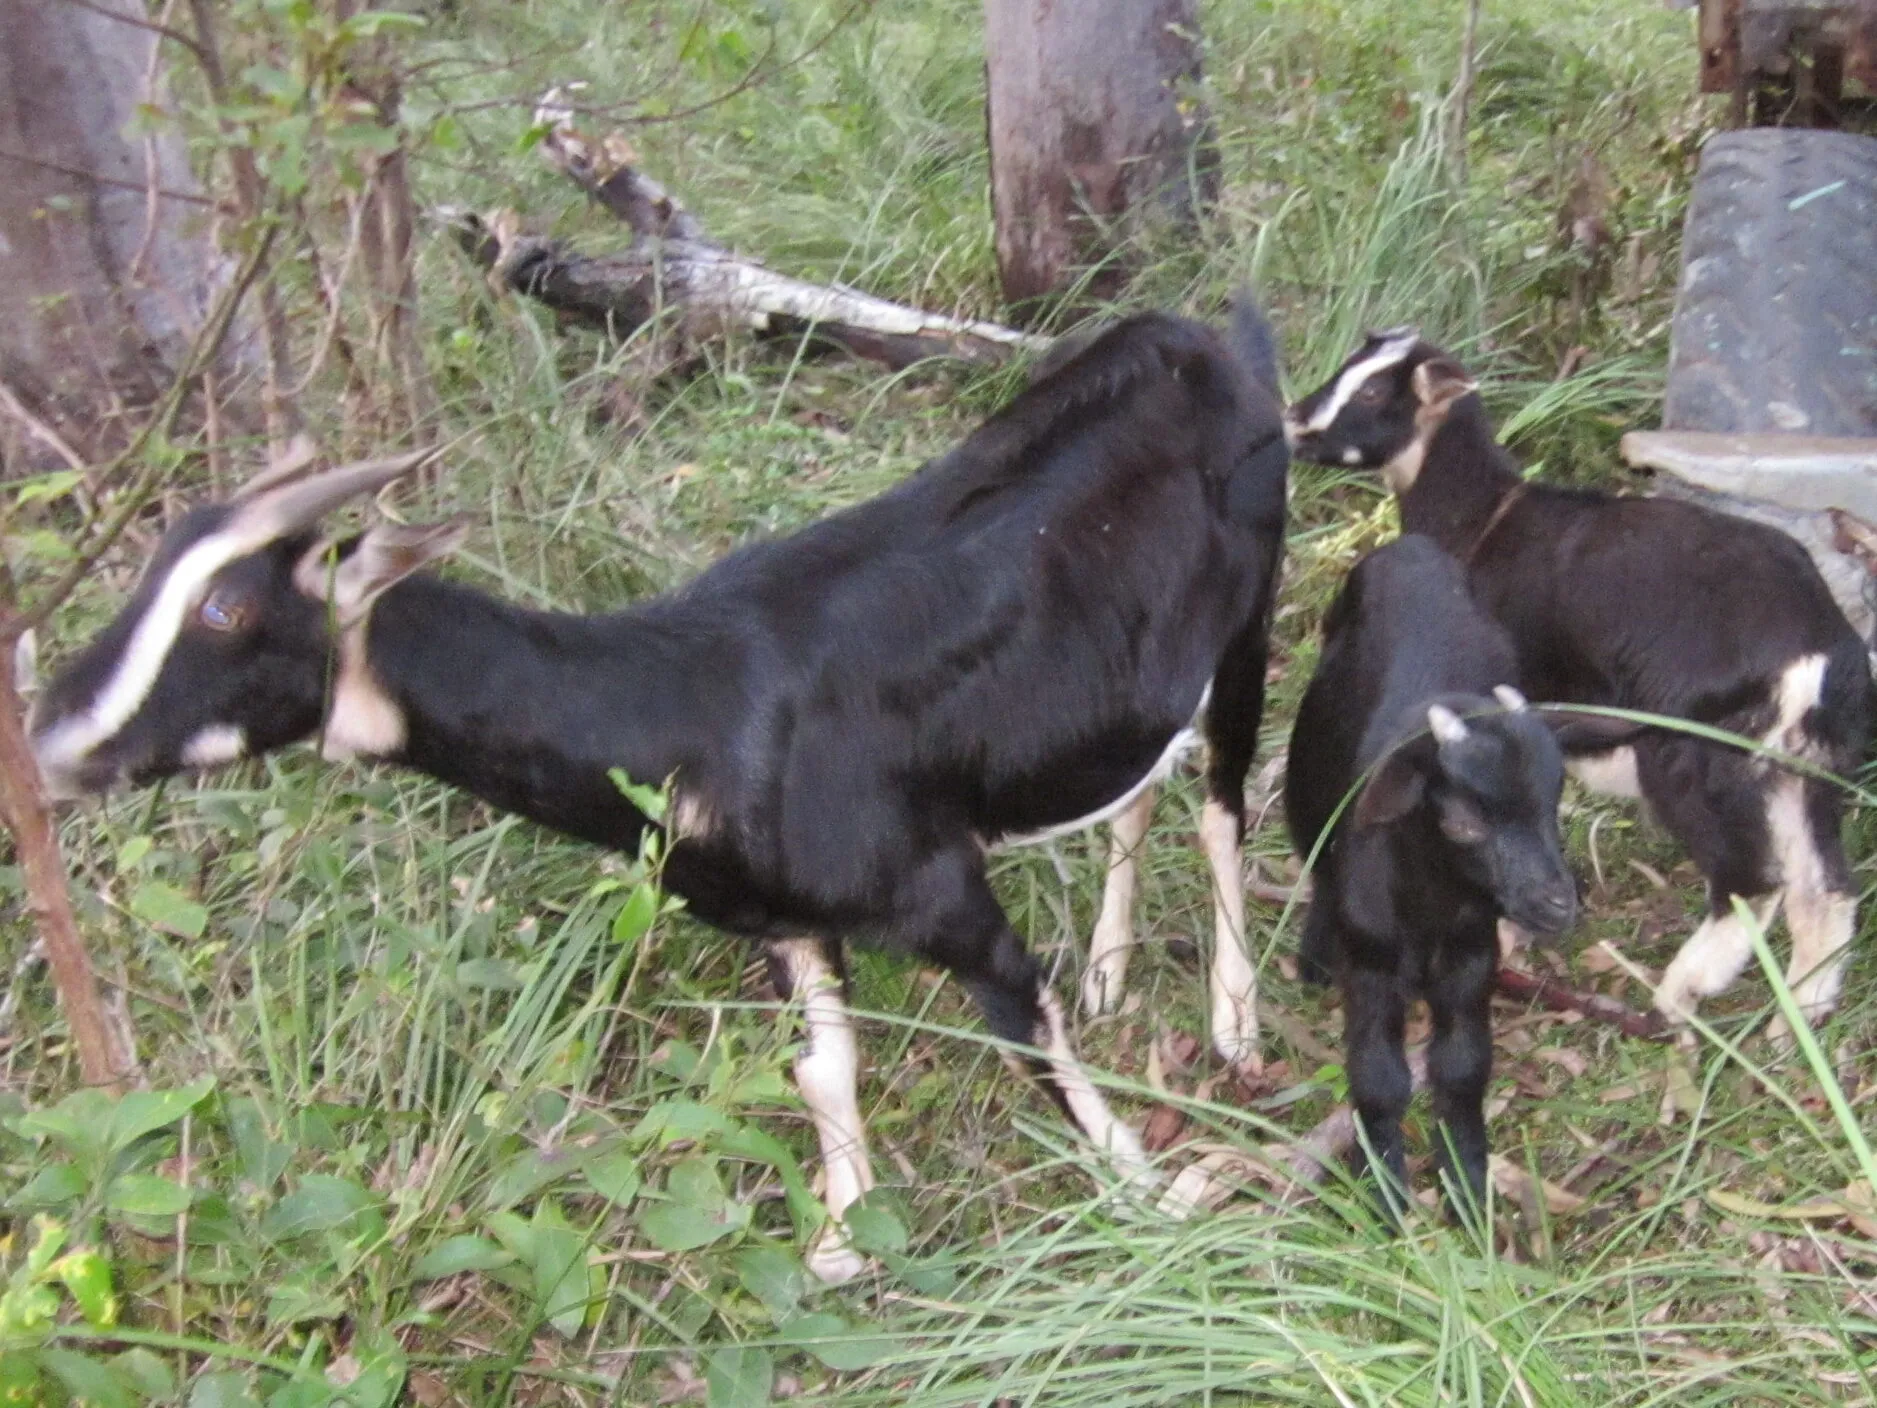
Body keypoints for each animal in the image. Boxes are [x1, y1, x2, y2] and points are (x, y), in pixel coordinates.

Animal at [31, 309, 1290, 1284]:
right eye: (154, 566)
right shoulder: (780, 918)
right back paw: (1115, 962)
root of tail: (1197, 335)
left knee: (1221, 797)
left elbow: (1027, 1027)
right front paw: (841, 1239)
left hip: (1251, 615)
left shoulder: (939, 888)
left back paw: (1232, 1018)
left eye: (229, 609)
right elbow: (822, 1066)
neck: (694, 702)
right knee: (1138, 780)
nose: (51, 737)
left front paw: (1148, 1189)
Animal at [1285, 534, 1625, 1214]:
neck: (1431, 900)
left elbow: (1464, 1065)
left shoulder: (1472, 953)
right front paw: (1386, 1188)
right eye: (1464, 821)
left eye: (1554, 800)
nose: (1557, 904)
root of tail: (1408, 546)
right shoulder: (1372, 964)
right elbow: (1378, 1076)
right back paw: (1312, 954)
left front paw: (1466, 1180)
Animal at [1286, 332, 1873, 1037]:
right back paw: (1799, 1020)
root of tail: (1817, 650)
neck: (1484, 519)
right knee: (1825, 885)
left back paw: (1681, 994)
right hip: (1801, 762)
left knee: (1752, 883)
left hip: (1698, 753)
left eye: (1375, 391)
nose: (1293, 420)